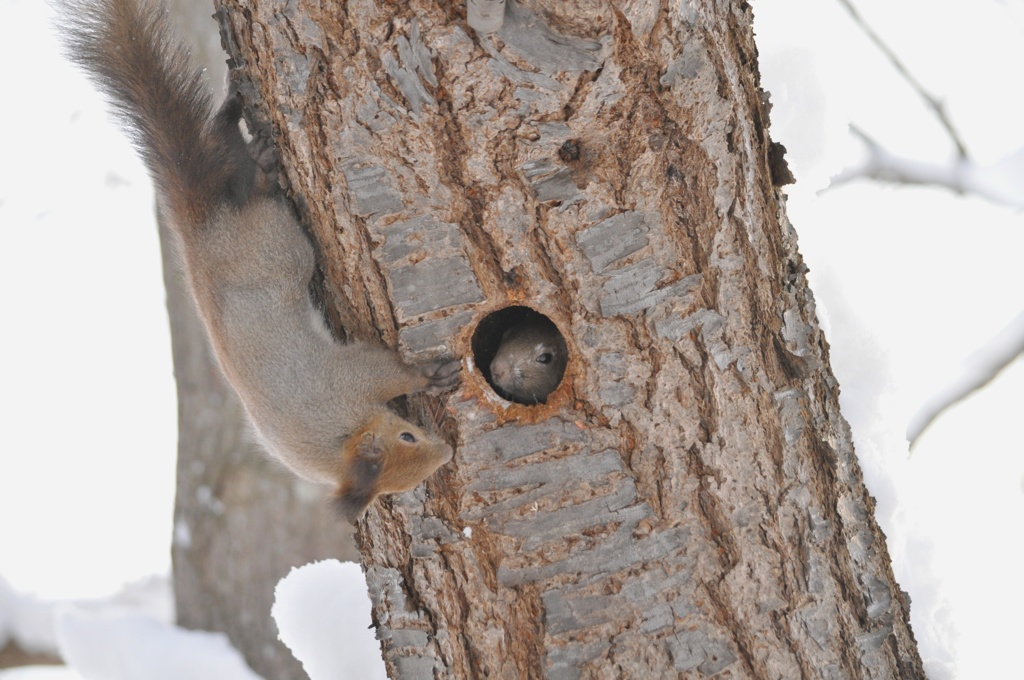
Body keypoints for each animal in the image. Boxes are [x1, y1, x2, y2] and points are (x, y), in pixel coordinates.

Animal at [59, 0, 460, 522]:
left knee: (220, 139)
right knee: (252, 191)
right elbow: (387, 367)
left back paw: (239, 122)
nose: (447, 452)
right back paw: (265, 172)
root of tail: (203, 229)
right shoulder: (347, 379)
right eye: (407, 438)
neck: (335, 441)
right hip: (280, 244)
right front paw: (431, 376)